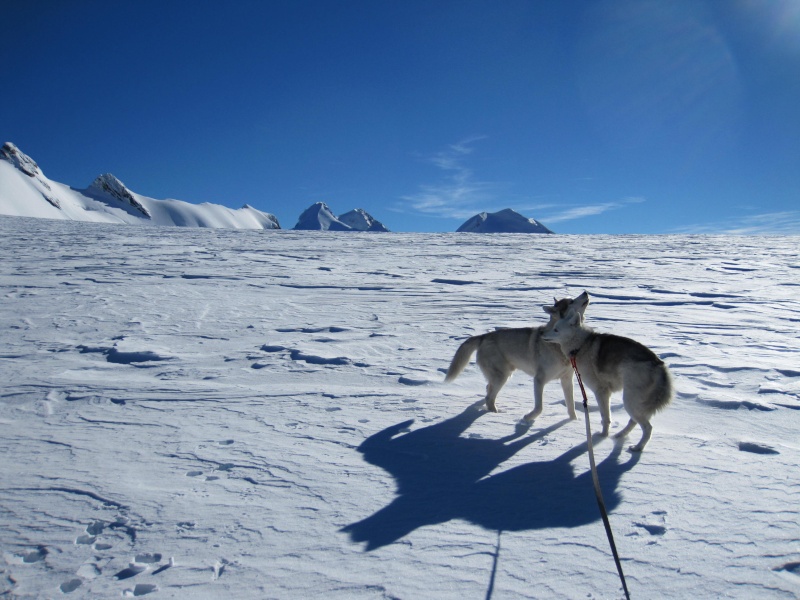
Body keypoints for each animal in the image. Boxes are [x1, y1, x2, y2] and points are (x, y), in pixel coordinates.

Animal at [444, 292, 588, 422]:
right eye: (571, 301)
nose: (585, 292)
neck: (558, 344)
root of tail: (484, 336)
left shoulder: (567, 380)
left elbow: (571, 407)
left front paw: (573, 422)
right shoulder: (539, 380)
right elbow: (539, 408)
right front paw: (528, 418)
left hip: (501, 375)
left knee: (488, 390)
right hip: (502, 376)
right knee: (489, 397)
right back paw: (494, 416)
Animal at [540, 292, 672, 452]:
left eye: (556, 330)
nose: (541, 333)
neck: (581, 344)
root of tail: (659, 364)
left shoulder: (601, 392)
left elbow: (605, 418)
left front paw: (602, 436)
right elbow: (606, 417)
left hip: (630, 400)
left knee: (647, 427)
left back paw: (637, 447)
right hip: (634, 401)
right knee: (634, 421)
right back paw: (620, 435)